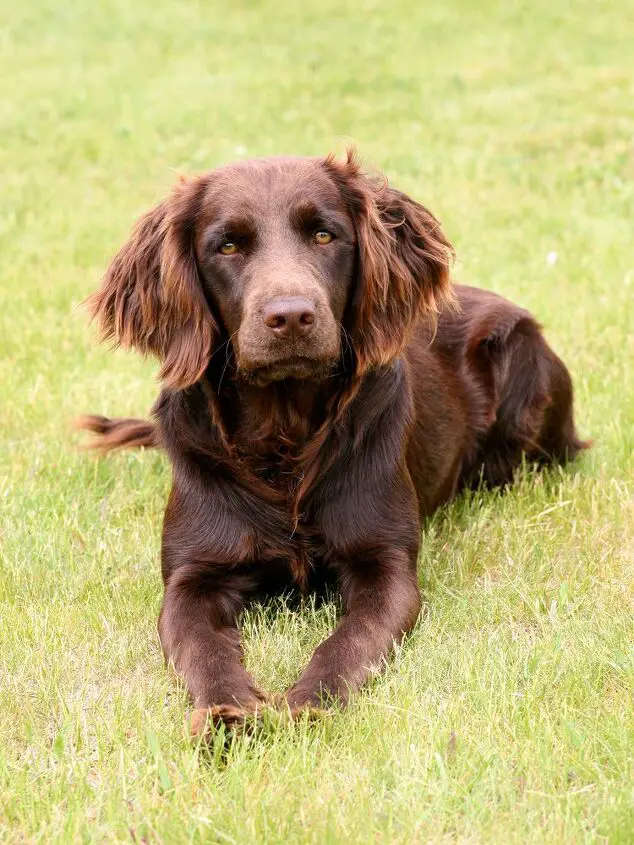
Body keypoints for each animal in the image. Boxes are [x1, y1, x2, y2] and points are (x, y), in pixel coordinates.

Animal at [80, 152, 588, 732]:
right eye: (226, 246)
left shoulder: (385, 566)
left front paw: (307, 705)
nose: (291, 316)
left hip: (525, 367)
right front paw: (228, 714)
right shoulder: (192, 576)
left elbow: (348, 642)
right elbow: (201, 649)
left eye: (324, 235)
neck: (285, 437)